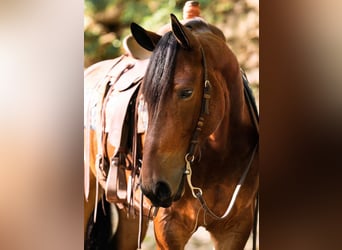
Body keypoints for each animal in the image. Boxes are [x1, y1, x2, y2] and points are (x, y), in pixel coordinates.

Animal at [131, 14, 260, 250]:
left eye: (186, 92)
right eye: (144, 97)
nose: (154, 187)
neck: (219, 159)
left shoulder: (236, 227)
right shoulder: (168, 228)